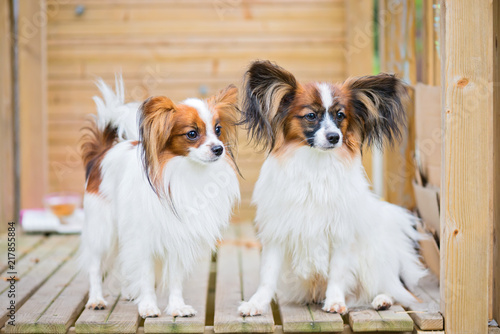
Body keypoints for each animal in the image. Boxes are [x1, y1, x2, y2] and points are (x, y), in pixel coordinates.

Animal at [80, 77, 240, 318]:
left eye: (218, 130)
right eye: (192, 133)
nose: (219, 149)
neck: (187, 172)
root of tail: (103, 152)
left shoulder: (178, 237)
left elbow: (175, 278)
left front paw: (177, 307)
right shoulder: (143, 238)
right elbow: (146, 275)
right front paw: (148, 306)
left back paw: (128, 292)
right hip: (103, 228)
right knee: (95, 265)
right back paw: (96, 299)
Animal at [236, 60, 424, 316]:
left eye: (340, 115)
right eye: (311, 116)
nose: (334, 137)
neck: (315, 163)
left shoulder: (340, 234)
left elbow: (337, 272)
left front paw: (335, 301)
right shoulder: (278, 231)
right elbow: (268, 275)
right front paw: (256, 303)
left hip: (372, 261)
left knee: (392, 289)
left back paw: (382, 299)